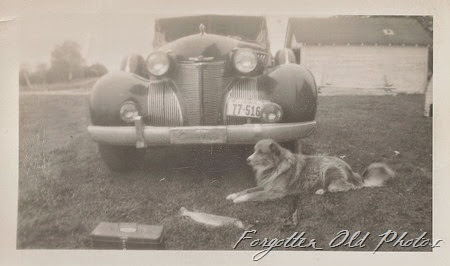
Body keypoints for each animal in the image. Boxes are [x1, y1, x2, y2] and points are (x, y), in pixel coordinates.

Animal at [225, 137, 394, 204]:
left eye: (261, 152)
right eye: (254, 150)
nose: (247, 160)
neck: (274, 167)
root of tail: (353, 172)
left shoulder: (274, 192)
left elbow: (253, 195)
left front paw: (239, 199)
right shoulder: (265, 186)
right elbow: (248, 189)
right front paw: (234, 194)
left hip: (328, 169)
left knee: (347, 187)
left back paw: (324, 190)